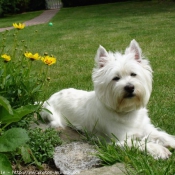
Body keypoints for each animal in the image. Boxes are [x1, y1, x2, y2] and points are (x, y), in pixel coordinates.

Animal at [41, 40, 175, 160]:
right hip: (53, 116)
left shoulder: (146, 128)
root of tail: (50, 98)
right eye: (115, 78)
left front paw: (170, 142)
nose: (130, 87)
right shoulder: (120, 140)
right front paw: (160, 150)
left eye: (133, 74)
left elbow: (161, 135)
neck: (126, 111)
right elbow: (142, 143)